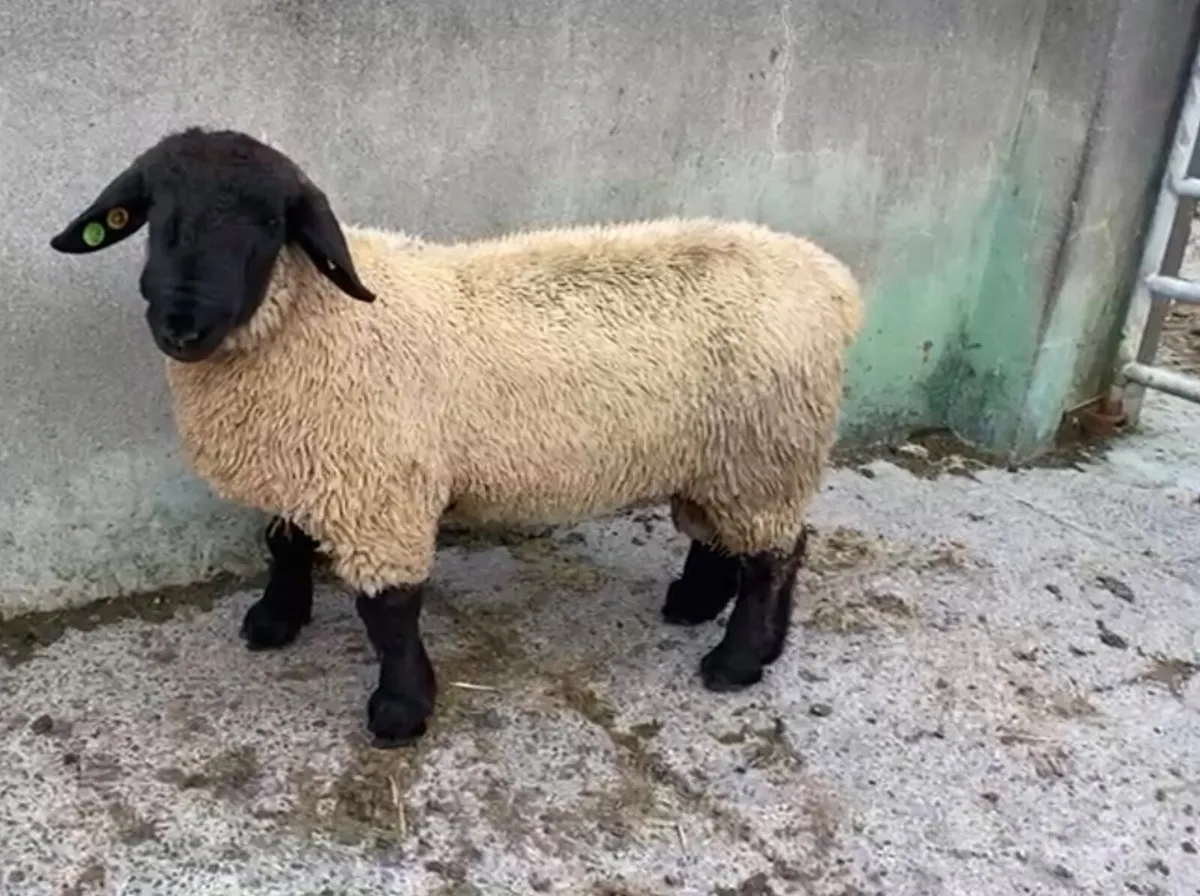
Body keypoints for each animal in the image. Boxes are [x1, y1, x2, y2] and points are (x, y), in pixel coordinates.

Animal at [49, 127, 865, 749]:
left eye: (271, 223)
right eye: (155, 215)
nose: (181, 325)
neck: (313, 320)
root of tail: (829, 277)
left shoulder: (379, 489)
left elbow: (388, 610)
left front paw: (401, 711)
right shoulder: (309, 464)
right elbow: (284, 546)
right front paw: (275, 622)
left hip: (767, 448)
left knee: (776, 553)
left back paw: (739, 659)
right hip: (724, 453)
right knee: (730, 538)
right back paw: (698, 605)